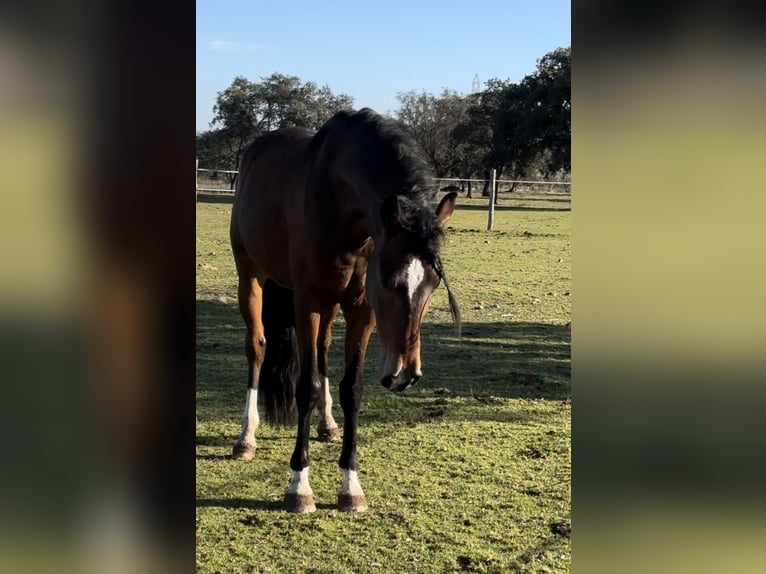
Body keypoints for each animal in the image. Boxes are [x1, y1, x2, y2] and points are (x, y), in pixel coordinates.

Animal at [225, 106, 460, 516]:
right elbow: (305, 386)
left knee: (321, 353)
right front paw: (299, 486)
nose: (405, 374)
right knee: (257, 347)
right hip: (251, 276)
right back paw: (246, 438)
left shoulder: (359, 309)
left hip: (329, 306)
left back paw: (327, 424)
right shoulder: (307, 302)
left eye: (432, 283)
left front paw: (351, 485)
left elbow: (352, 388)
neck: (337, 201)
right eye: (387, 280)